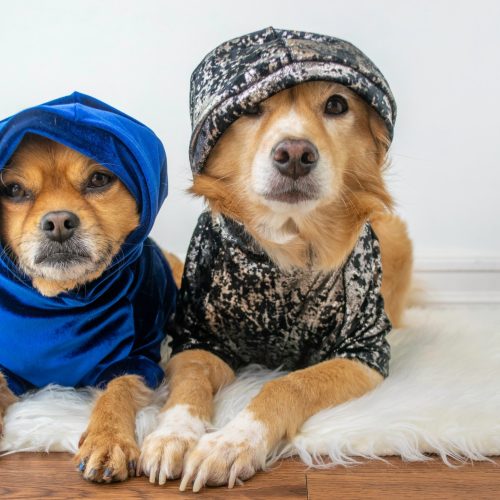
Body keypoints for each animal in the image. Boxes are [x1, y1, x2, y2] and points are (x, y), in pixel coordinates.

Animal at [0, 136, 182, 480]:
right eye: (13, 189)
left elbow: (116, 393)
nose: (58, 222)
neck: (64, 299)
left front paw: (108, 440)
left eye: (98, 179)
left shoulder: (137, 359)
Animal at [139, 82, 412, 492]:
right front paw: (172, 434)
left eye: (336, 104)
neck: (289, 252)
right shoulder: (199, 339)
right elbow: (189, 387)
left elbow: (288, 385)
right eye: (250, 108)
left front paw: (231, 443)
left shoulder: (364, 352)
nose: (295, 154)